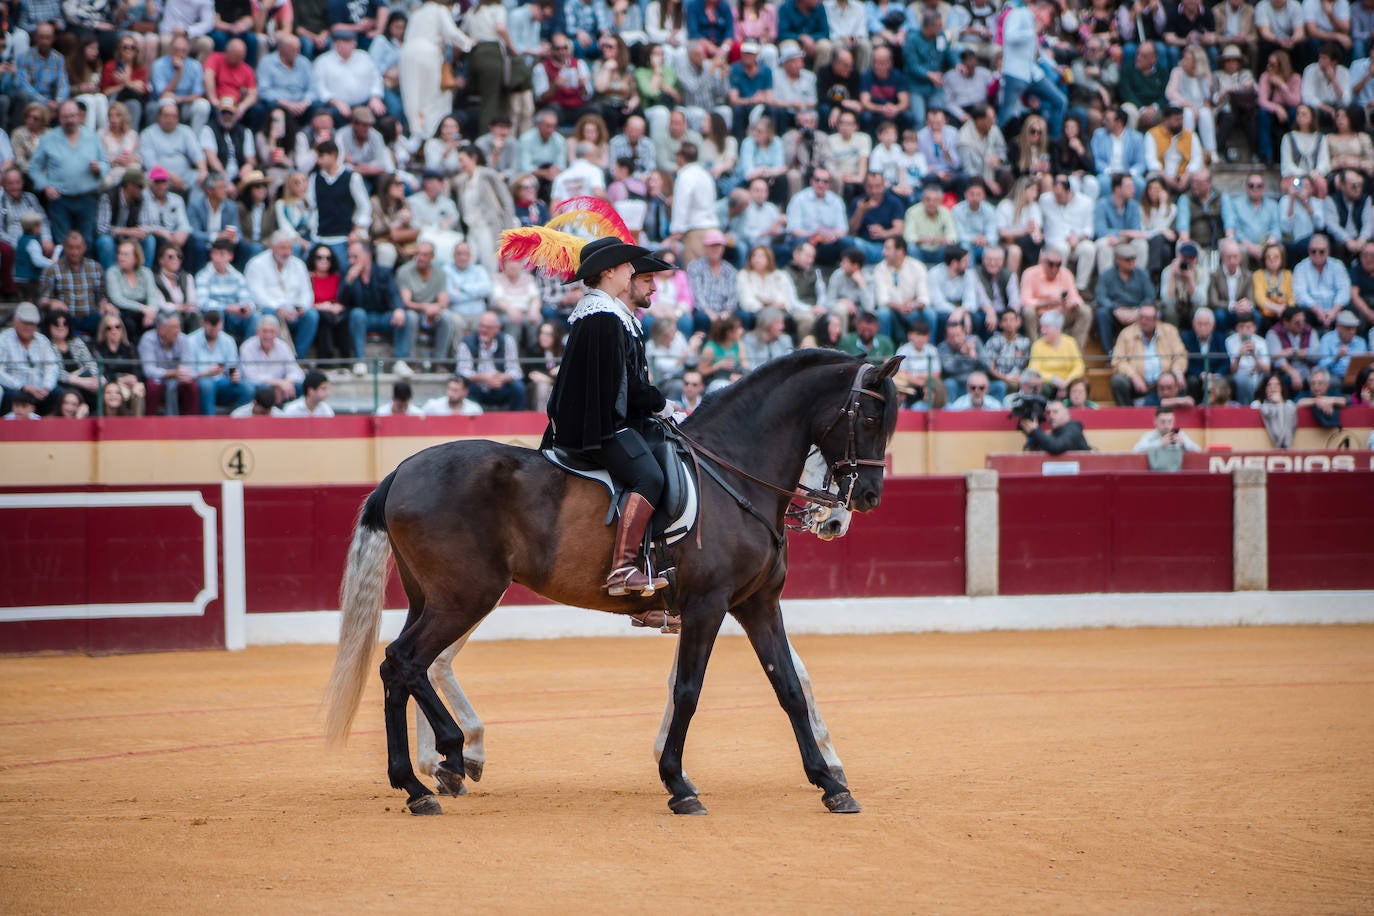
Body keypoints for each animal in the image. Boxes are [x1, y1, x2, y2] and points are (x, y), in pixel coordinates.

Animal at [321, 348, 901, 818]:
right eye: (870, 416)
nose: (865, 499)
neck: (734, 477)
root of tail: (402, 470)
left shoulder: (757, 604)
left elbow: (789, 687)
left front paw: (830, 783)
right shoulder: (707, 606)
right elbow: (689, 690)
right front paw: (678, 784)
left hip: (434, 599)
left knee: (400, 668)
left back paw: (418, 782)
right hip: (465, 598)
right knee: (410, 661)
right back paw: (450, 754)